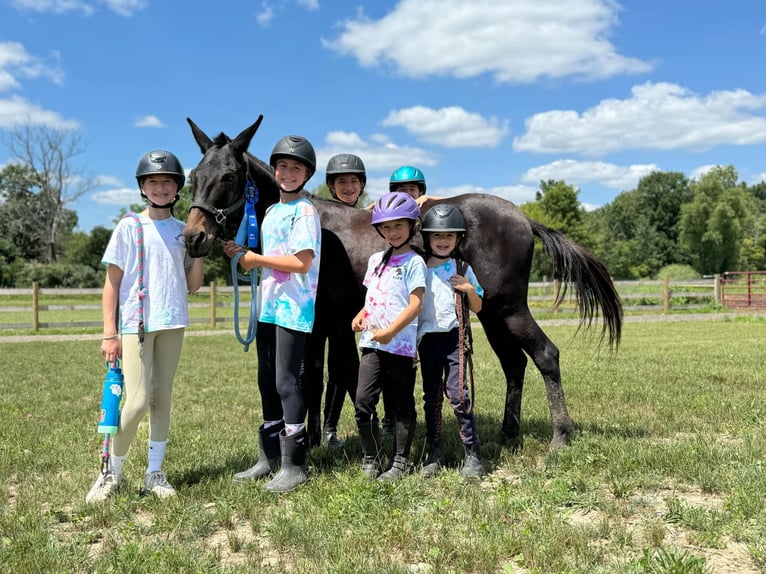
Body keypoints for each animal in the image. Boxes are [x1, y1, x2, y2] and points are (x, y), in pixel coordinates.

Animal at [184, 117, 624, 452]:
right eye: (194, 176)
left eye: (229, 176)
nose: (193, 237)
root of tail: (522, 217)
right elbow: (325, 379)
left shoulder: (316, 325)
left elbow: (311, 381)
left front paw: (310, 445)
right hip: (491, 313)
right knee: (515, 363)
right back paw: (508, 433)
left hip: (510, 309)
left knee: (546, 355)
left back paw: (560, 436)